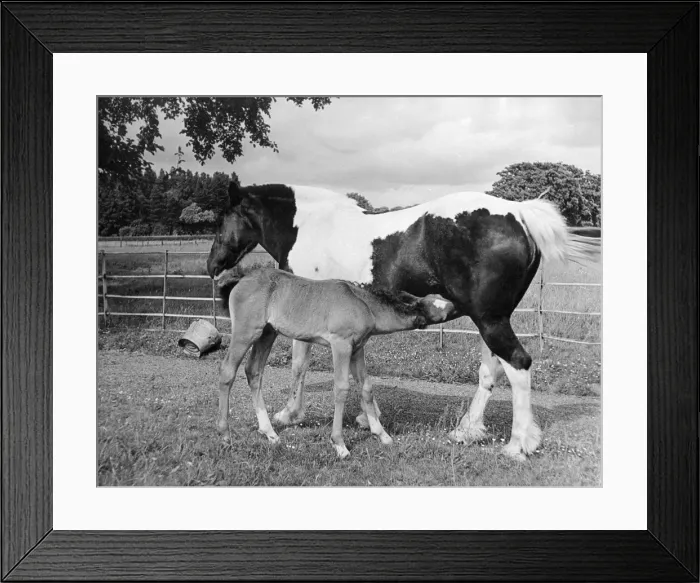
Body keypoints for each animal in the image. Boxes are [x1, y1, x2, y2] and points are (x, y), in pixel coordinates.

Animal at [215, 267, 458, 458]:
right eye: (445, 310)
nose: (457, 304)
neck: (363, 304)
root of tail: (241, 280)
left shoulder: (357, 349)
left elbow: (366, 388)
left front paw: (382, 435)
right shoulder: (341, 345)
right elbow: (341, 389)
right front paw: (339, 444)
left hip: (267, 333)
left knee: (253, 371)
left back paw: (270, 433)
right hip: (246, 332)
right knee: (227, 372)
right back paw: (225, 435)